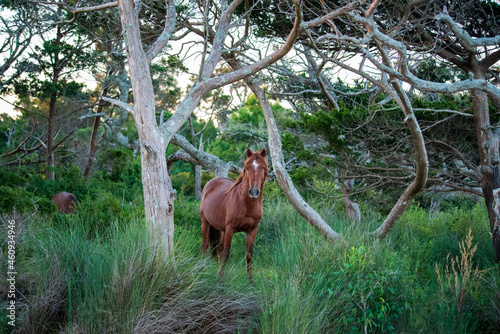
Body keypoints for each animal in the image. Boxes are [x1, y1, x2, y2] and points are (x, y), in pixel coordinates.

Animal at [200, 147, 270, 280]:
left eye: (262, 168)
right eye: (247, 168)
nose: (254, 191)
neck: (246, 205)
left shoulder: (252, 230)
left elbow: (249, 254)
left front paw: (250, 280)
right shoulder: (230, 229)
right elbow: (226, 253)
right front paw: (219, 278)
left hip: (220, 228)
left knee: (218, 247)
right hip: (205, 223)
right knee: (205, 245)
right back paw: (202, 268)